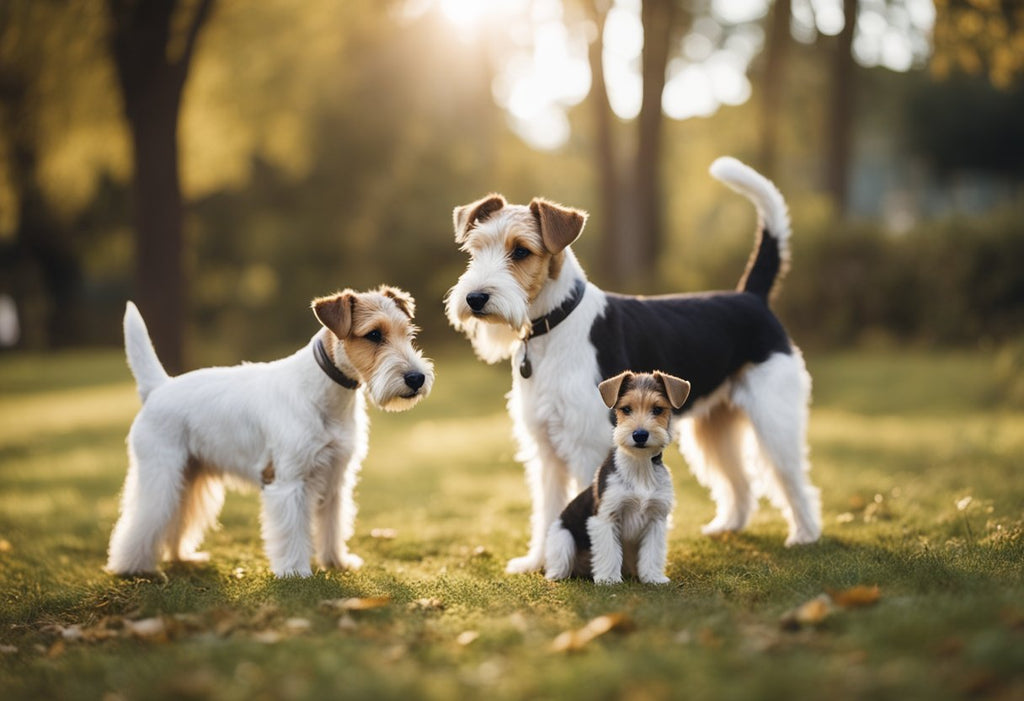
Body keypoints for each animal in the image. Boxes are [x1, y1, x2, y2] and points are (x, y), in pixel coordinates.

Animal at [105, 284, 434, 573]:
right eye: (374, 334)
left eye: (409, 334)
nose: (416, 378)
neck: (326, 393)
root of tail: (158, 387)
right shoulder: (288, 483)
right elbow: (293, 533)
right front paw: (295, 571)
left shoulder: (335, 479)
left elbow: (332, 526)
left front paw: (337, 561)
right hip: (161, 475)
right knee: (143, 520)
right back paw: (131, 567)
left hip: (190, 477)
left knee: (178, 519)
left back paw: (182, 557)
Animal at [544, 372, 688, 585]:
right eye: (626, 409)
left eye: (657, 409)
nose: (640, 434)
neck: (639, 465)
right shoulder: (605, 517)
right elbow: (608, 552)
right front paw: (608, 579)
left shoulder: (656, 519)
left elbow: (652, 554)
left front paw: (653, 577)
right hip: (563, 537)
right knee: (560, 564)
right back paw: (557, 575)